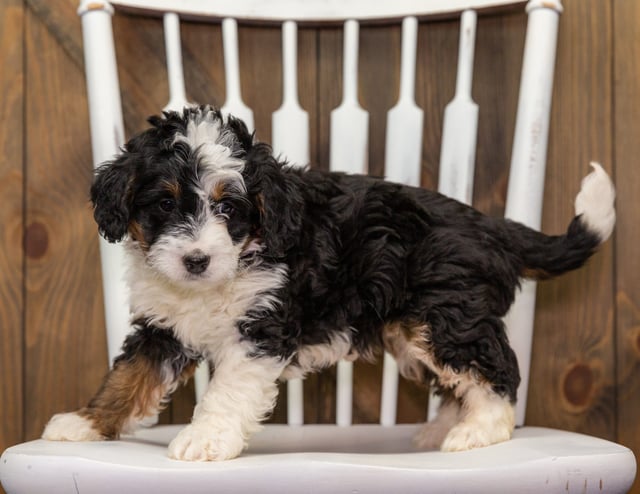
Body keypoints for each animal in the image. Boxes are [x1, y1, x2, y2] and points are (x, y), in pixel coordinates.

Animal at [42, 105, 616, 464]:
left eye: (228, 208)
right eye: (164, 203)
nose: (196, 260)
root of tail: (490, 226)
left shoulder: (260, 329)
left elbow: (225, 392)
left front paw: (204, 440)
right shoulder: (162, 328)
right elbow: (128, 377)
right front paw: (86, 424)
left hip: (446, 315)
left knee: (496, 369)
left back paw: (479, 429)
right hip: (418, 328)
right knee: (460, 377)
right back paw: (444, 427)